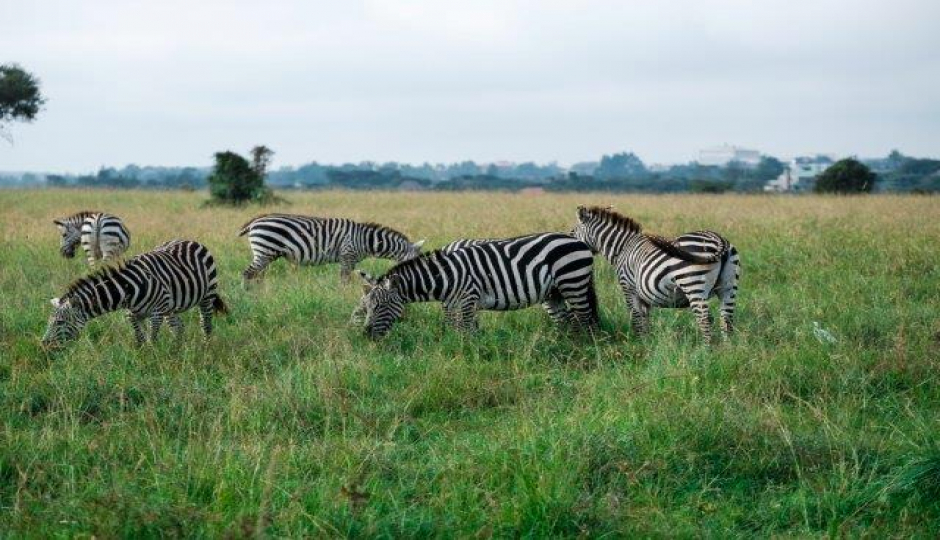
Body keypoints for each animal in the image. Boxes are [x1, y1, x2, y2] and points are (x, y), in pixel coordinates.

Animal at [40, 238, 228, 348]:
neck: (127, 290)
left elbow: (152, 338)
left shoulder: (156, 314)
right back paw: (177, 350)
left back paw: (205, 348)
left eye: (60, 322)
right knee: (178, 327)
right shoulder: (132, 315)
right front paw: (142, 357)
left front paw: (152, 358)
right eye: (49, 322)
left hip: (207, 295)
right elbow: (139, 338)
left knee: (205, 324)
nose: (44, 345)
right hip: (170, 307)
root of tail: (190, 240)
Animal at [239, 214, 426, 284]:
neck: (365, 240)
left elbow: (347, 279)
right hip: (264, 251)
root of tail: (255, 221)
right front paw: (342, 297)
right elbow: (344, 280)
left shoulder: (351, 260)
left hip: (267, 254)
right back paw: (249, 297)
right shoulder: (347, 255)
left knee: (256, 275)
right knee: (247, 273)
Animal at [356, 232, 600, 338]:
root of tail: (577, 240)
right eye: (366, 307)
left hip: (572, 281)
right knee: (565, 319)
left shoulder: (468, 299)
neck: (446, 277)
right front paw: (454, 351)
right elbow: (455, 328)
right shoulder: (451, 304)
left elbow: (466, 330)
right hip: (553, 292)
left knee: (583, 317)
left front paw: (469, 354)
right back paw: (561, 346)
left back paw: (581, 347)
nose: (365, 335)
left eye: (380, 306)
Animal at [568, 206, 740, 342]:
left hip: (693, 285)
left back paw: (706, 352)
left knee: (705, 320)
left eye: (572, 232)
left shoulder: (628, 288)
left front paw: (640, 344)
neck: (622, 247)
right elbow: (645, 320)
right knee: (726, 320)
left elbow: (636, 317)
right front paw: (648, 343)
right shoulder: (644, 295)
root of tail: (718, 239)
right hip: (729, 288)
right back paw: (726, 352)